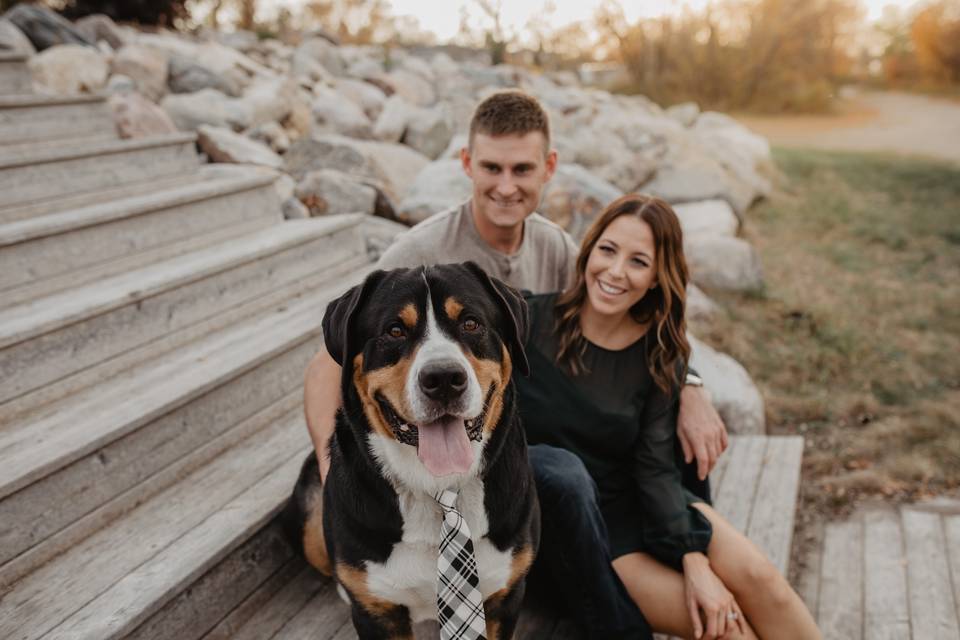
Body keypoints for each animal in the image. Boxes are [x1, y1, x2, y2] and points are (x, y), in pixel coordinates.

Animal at [284, 262, 540, 636]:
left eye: (471, 323)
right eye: (394, 331)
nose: (444, 378)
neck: (439, 487)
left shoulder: (505, 597)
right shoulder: (378, 614)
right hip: (311, 527)